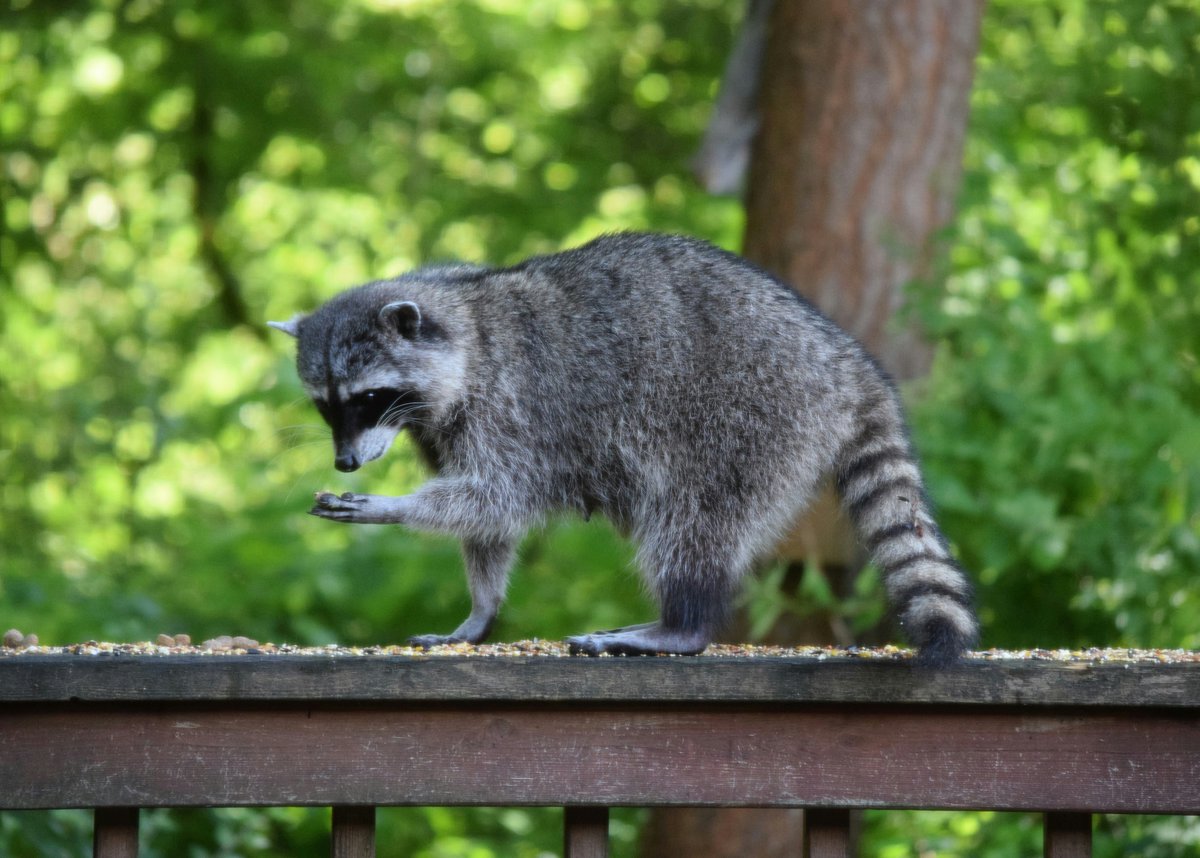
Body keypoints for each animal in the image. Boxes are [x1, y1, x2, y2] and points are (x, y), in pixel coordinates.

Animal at [270, 232, 977, 665]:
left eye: (367, 398)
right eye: (326, 405)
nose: (345, 461)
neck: (461, 321)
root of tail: (845, 358)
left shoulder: (515, 406)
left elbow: (501, 495)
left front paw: (391, 507)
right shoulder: (445, 428)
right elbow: (488, 522)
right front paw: (481, 609)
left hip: (750, 418)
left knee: (693, 521)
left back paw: (680, 624)